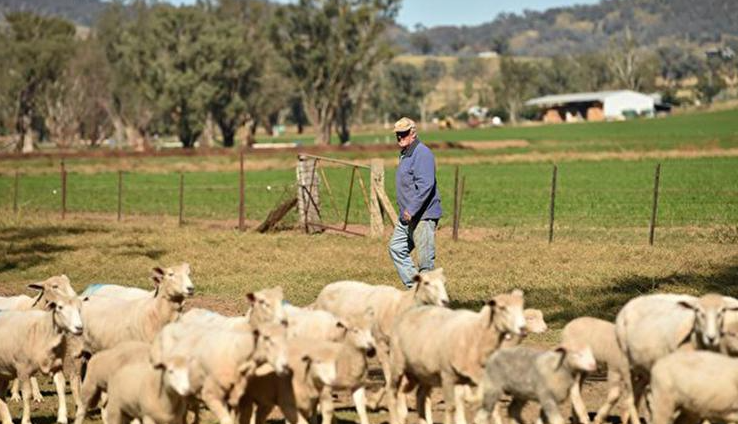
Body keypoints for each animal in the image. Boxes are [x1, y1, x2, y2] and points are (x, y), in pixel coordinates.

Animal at [388, 290, 528, 424]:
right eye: (502, 308)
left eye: (521, 307)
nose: (523, 328)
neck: (477, 333)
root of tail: (407, 313)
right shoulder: (447, 376)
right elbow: (451, 407)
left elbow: (493, 406)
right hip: (397, 365)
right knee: (393, 392)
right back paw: (397, 418)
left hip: (424, 373)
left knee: (420, 395)